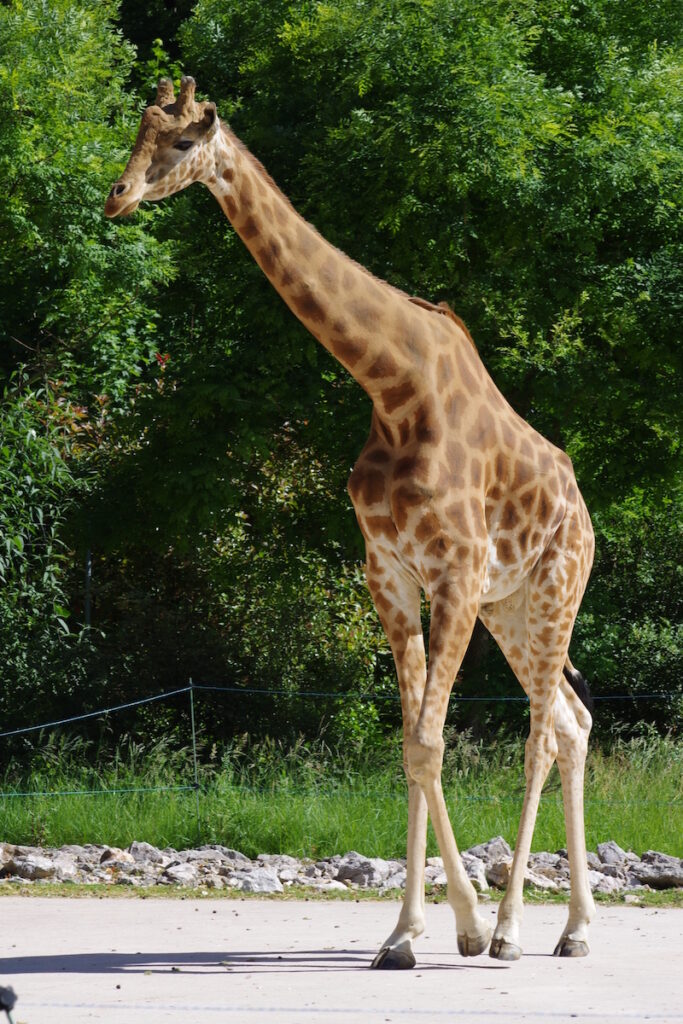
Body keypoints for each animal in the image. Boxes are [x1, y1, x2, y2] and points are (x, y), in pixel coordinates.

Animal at [106, 77, 596, 966]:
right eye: (137, 131)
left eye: (185, 142)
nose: (117, 196)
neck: (390, 385)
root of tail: (582, 511)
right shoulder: (389, 575)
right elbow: (410, 745)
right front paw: (412, 933)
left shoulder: (454, 572)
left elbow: (429, 742)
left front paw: (463, 927)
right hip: (511, 608)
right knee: (571, 725)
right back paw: (573, 929)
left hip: (552, 589)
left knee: (543, 735)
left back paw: (517, 930)